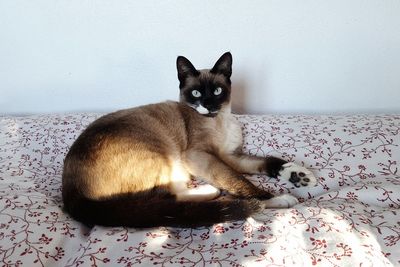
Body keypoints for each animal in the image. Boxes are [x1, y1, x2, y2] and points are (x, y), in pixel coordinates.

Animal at [61, 52, 316, 228]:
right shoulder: (201, 156)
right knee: (164, 200)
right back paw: (212, 192)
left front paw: (298, 175)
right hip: (164, 155)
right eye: (196, 93)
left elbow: (266, 162)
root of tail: (70, 194)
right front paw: (280, 199)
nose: (208, 104)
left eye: (217, 91)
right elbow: (239, 182)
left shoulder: (229, 156)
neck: (219, 120)